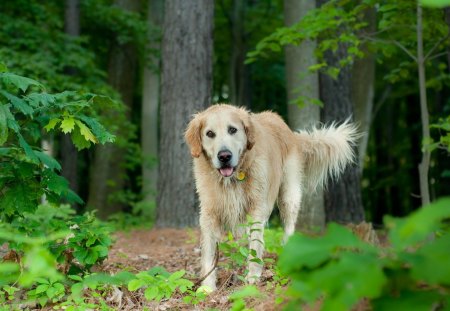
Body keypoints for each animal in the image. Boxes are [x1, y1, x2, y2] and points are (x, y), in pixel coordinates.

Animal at [185, 103, 356, 292]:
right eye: (209, 133)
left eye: (232, 130)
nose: (224, 156)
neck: (232, 179)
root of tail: (289, 130)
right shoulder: (209, 212)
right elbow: (208, 251)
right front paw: (207, 287)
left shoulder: (257, 208)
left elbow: (255, 244)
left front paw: (252, 276)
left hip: (289, 195)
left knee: (288, 227)